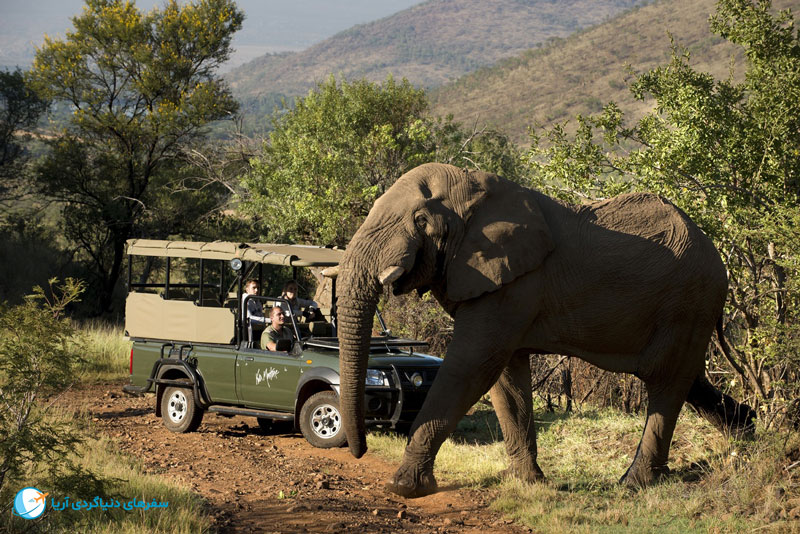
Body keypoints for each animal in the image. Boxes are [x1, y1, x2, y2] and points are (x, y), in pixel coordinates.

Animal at [336, 162, 756, 498]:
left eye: (421, 220)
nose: (358, 451)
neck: (477, 189)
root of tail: (720, 258)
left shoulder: (515, 283)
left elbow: (472, 365)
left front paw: (404, 487)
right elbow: (505, 378)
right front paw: (529, 483)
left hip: (689, 301)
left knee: (666, 384)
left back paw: (633, 484)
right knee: (689, 379)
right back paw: (748, 436)